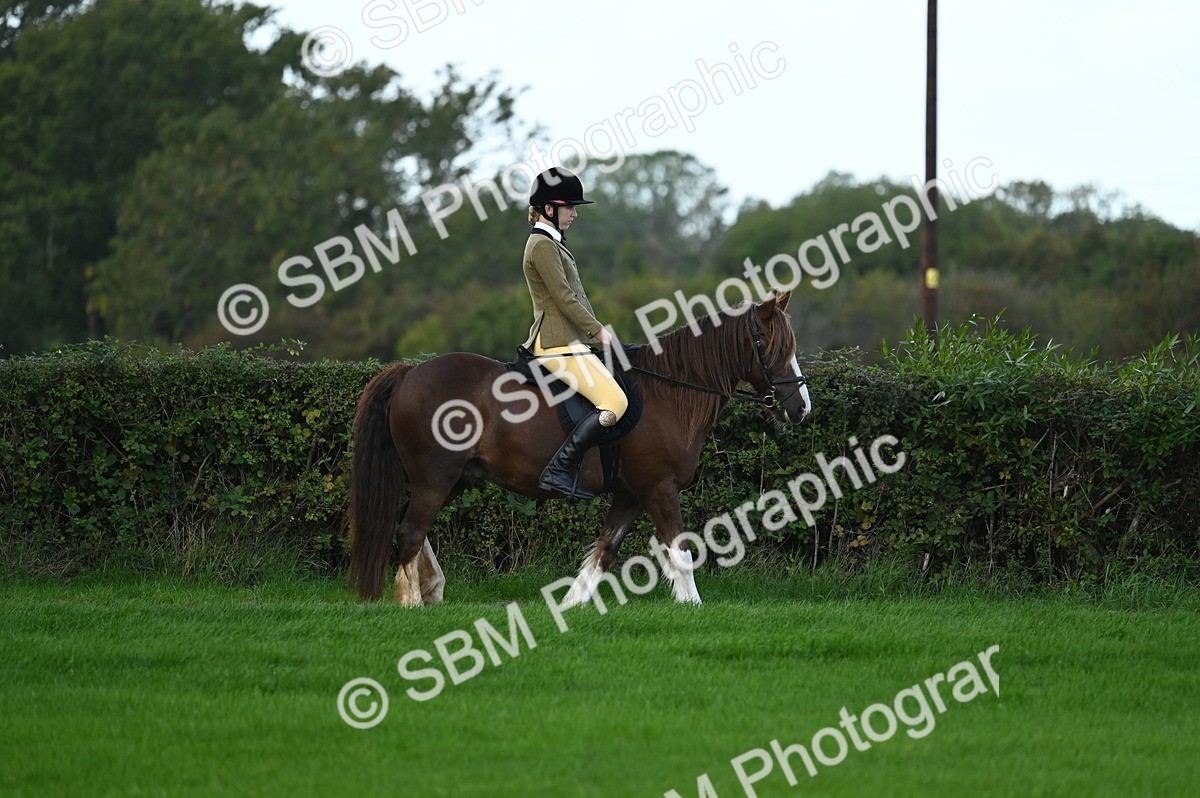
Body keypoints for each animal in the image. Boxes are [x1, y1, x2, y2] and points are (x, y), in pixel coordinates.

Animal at [347, 291, 810, 606]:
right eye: (772, 345)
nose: (801, 407)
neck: (670, 392)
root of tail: (409, 373)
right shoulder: (659, 488)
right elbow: (680, 549)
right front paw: (693, 605)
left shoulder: (630, 495)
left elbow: (604, 551)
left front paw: (570, 607)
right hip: (436, 478)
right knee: (410, 530)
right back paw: (410, 602)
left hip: (454, 478)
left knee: (414, 527)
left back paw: (431, 589)